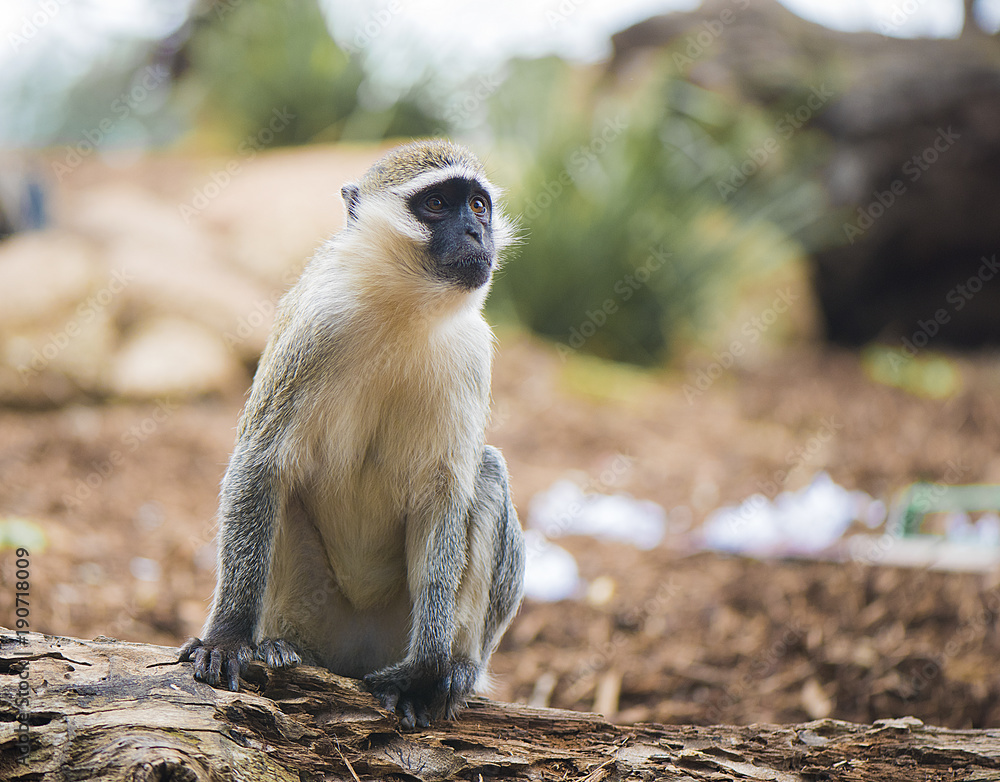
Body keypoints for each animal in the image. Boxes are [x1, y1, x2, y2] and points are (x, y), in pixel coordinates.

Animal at [179, 139, 525, 729]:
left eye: (478, 206)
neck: (404, 309)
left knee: (487, 471)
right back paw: (277, 645)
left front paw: (426, 670)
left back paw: (455, 669)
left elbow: (444, 495)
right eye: (437, 204)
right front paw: (227, 638)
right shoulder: (317, 327)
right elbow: (262, 464)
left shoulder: (472, 355)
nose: (477, 233)